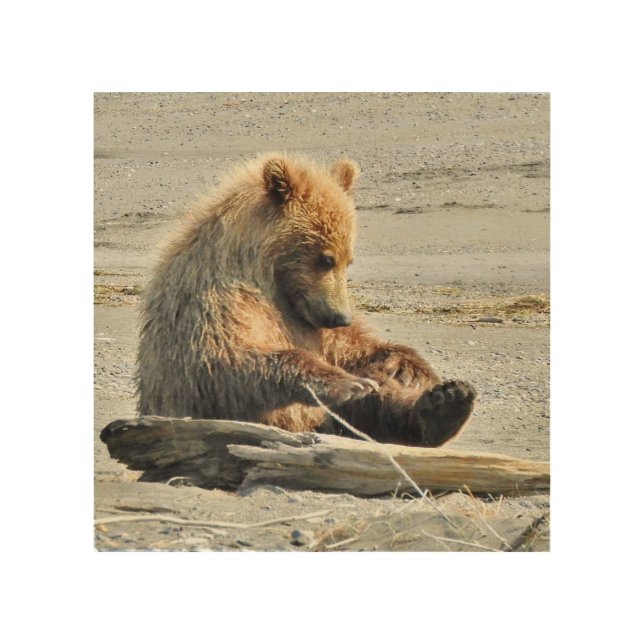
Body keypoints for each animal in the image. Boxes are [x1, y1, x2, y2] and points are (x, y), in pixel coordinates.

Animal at [136, 153, 477, 447]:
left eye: (348, 260)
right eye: (326, 258)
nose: (340, 317)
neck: (268, 275)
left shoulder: (310, 319)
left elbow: (352, 349)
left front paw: (408, 365)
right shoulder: (217, 299)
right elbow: (228, 357)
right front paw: (348, 383)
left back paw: (447, 403)